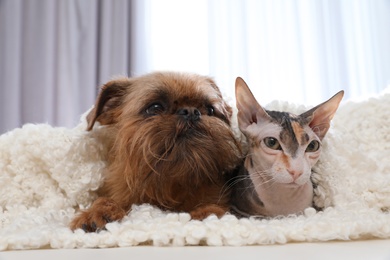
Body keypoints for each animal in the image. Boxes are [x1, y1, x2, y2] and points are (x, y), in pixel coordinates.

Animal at [69, 71, 241, 232]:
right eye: (155, 107)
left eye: (210, 110)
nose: (191, 111)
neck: (171, 185)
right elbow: (106, 200)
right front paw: (97, 211)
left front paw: (208, 214)